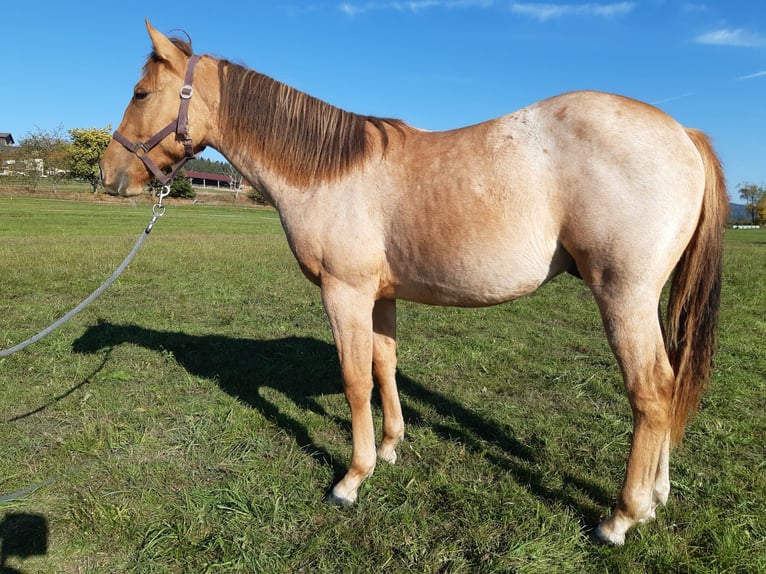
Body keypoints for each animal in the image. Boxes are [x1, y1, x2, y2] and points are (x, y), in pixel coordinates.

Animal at [100, 21, 728, 545]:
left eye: (139, 93)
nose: (108, 174)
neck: (328, 172)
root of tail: (683, 132)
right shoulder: (379, 297)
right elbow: (385, 367)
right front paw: (391, 448)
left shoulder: (344, 293)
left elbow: (355, 380)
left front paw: (351, 480)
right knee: (669, 385)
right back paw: (656, 498)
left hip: (623, 295)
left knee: (650, 392)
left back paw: (621, 517)